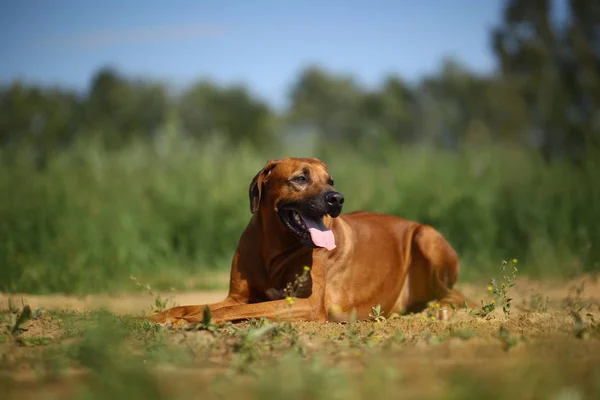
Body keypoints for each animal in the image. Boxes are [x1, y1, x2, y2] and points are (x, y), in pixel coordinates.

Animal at [148, 156, 472, 324]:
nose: (337, 199)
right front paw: (162, 316)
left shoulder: (309, 304)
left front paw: (192, 320)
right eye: (300, 179)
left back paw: (438, 308)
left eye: (330, 181)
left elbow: (236, 310)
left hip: (426, 236)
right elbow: (200, 305)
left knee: (456, 295)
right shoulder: (236, 295)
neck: (274, 248)